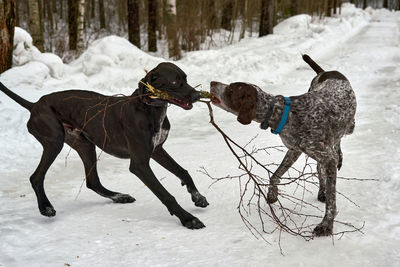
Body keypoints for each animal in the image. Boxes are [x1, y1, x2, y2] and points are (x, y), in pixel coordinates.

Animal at [0, 62, 209, 230]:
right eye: (174, 82)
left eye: (185, 78)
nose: (197, 95)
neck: (151, 109)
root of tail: (34, 104)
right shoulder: (140, 164)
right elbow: (166, 195)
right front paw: (188, 219)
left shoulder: (157, 150)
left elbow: (183, 172)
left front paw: (197, 197)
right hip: (54, 141)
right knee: (36, 177)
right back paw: (46, 207)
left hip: (85, 145)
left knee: (92, 181)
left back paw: (119, 196)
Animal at [209, 55, 356, 237]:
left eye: (230, 90)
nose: (212, 82)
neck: (282, 113)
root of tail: (325, 72)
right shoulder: (294, 150)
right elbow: (275, 175)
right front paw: (272, 194)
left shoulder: (325, 156)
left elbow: (332, 202)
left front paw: (326, 225)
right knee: (321, 164)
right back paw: (322, 189)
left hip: (349, 127)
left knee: (339, 141)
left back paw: (338, 158)